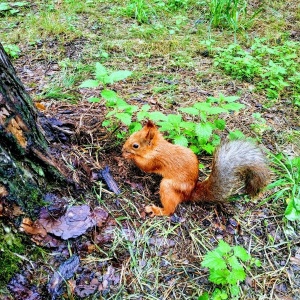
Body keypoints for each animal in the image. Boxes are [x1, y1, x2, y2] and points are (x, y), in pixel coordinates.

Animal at [120, 119, 270, 216]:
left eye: (135, 145)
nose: (123, 148)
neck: (157, 148)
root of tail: (190, 193)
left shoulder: (155, 160)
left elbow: (145, 166)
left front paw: (129, 156)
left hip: (168, 186)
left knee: (170, 210)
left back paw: (157, 210)